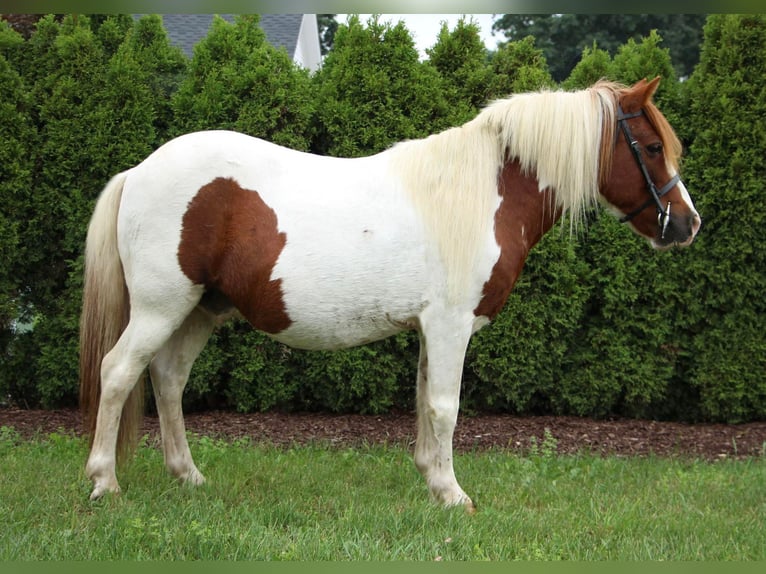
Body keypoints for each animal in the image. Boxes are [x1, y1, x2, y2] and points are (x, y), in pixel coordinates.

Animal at [79, 77, 704, 512]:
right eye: (651, 146)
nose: (687, 225)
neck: (482, 193)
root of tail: (138, 172)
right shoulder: (450, 325)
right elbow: (446, 408)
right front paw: (454, 495)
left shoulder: (431, 328)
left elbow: (426, 404)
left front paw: (433, 482)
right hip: (161, 308)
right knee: (119, 372)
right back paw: (104, 483)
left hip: (199, 311)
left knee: (168, 380)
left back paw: (188, 477)